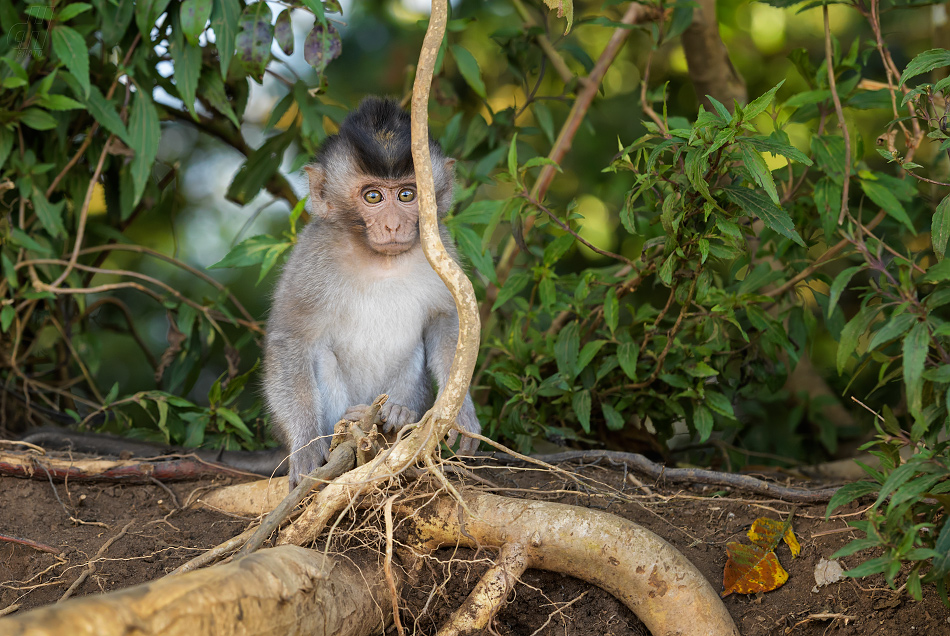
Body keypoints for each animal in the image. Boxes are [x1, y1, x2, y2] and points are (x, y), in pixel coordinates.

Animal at [262, 98, 480, 486]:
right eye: (373, 196)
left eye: (407, 194)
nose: (393, 225)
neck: (380, 262)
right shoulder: (311, 257)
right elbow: (290, 339)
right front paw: (304, 448)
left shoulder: (441, 246)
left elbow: (446, 321)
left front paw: (461, 413)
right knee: (320, 356)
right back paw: (347, 423)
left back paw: (397, 417)